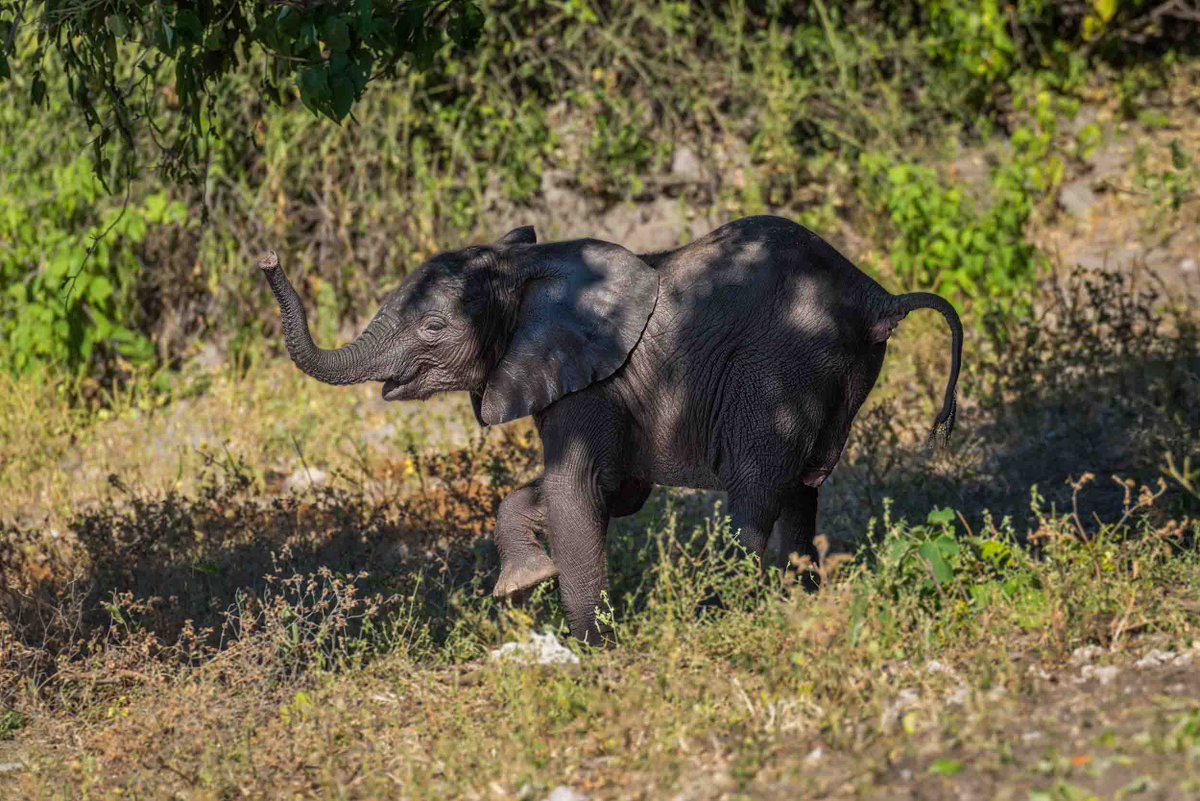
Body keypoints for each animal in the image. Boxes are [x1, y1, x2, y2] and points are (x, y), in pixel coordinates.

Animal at [259, 215, 962, 643]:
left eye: (433, 327)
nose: (268, 260)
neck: (530, 268)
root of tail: (875, 297)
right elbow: (606, 493)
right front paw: (523, 584)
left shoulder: (590, 383)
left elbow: (576, 490)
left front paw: (593, 650)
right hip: (828, 376)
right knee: (801, 496)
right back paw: (798, 605)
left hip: (778, 371)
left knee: (755, 499)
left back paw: (718, 614)